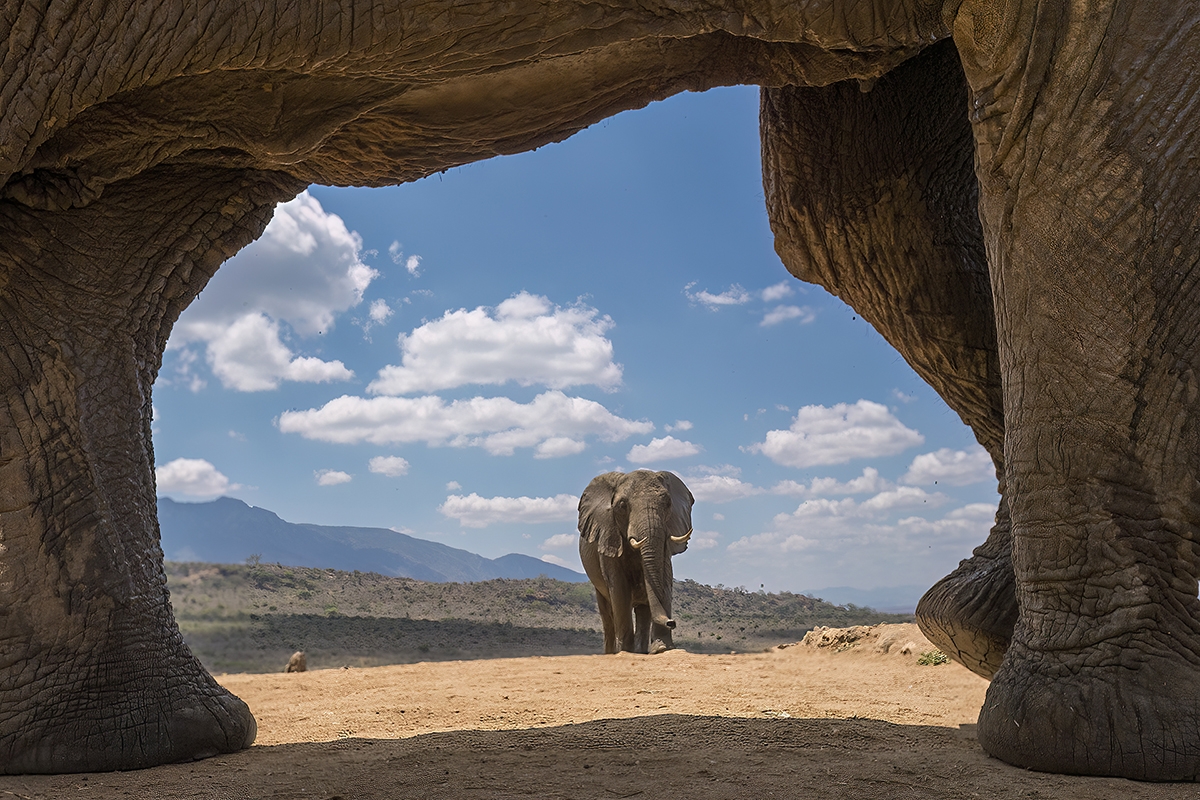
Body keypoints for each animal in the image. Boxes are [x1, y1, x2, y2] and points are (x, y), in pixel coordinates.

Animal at [578, 471, 694, 655]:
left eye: (668, 503)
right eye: (622, 505)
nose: (671, 622)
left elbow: (665, 579)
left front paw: (662, 648)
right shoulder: (608, 538)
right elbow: (619, 588)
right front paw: (625, 651)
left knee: (643, 610)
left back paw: (641, 651)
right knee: (608, 613)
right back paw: (612, 653)